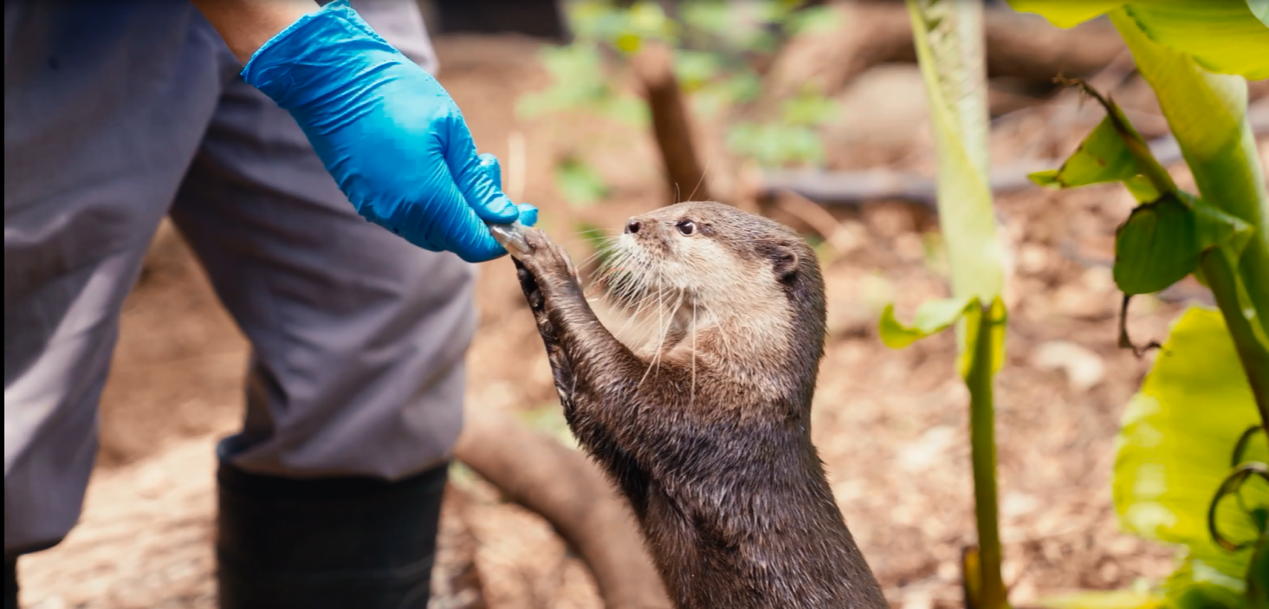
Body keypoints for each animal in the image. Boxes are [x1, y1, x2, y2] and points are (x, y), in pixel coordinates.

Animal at [502, 201, 883, 606]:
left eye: (687, 225)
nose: (632, 223)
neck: (745, 374)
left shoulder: (700, 411)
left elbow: (614, 375)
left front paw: (552, 265)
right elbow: (586, 414)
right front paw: (531, 284)